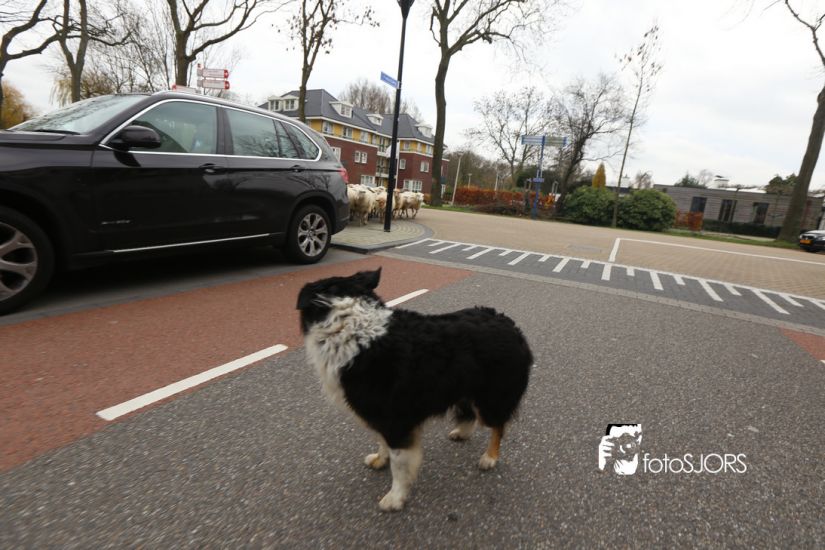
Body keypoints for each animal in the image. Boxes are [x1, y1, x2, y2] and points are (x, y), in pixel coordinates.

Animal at [297, 268, 532, 511]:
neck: (352, 328)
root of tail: (510, 324)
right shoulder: (380, 416)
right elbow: (381, 441)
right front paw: (380, 460)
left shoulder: (395, 420)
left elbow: (399, 464)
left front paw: (395, 497)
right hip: (464, 385)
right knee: (469, 412)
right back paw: (462, 432)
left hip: (492, 396)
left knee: (497, 426)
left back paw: (490, 457)